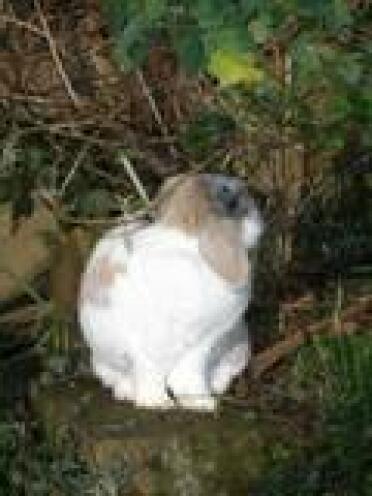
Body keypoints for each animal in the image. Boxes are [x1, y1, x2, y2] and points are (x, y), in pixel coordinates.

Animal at [79, 173, 262, 410]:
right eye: (238, 203)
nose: (259, 220)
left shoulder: (201, 344)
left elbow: (187, 376)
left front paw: (198, 402)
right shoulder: (146, 346)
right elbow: (152, 374)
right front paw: (158, 403)